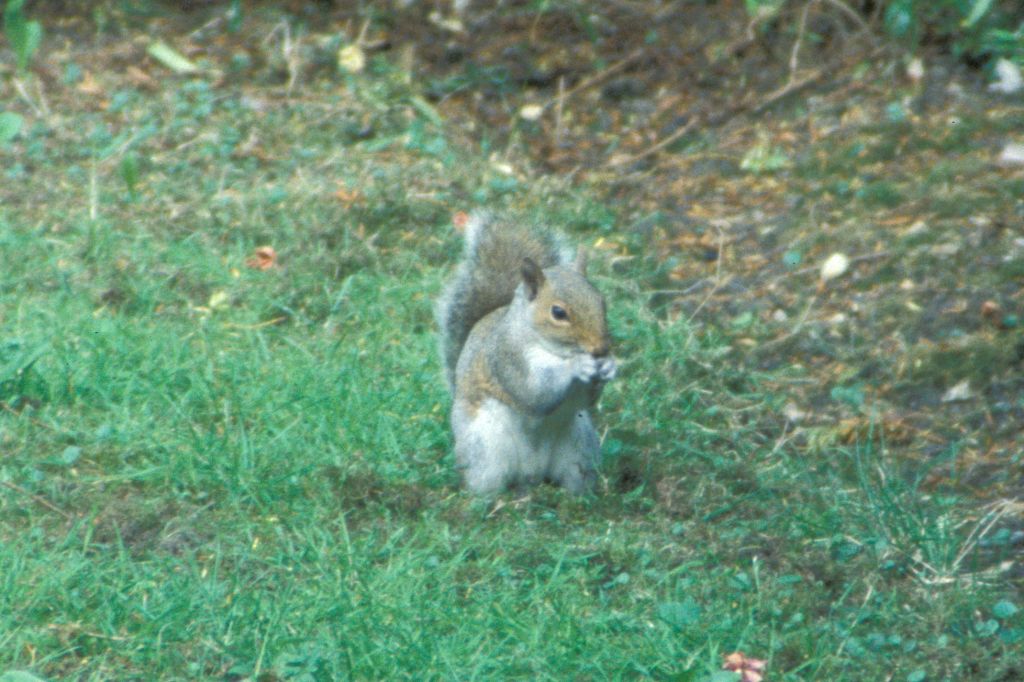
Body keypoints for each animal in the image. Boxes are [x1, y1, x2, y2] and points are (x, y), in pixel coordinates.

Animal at [436, 212, 616, 495]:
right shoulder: (507, 357)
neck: (554, 351)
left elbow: (586, 401)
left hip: (580, 449)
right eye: (558, 312)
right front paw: (577, 365)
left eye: (602, 301)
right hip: (485, 448)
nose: (600, 348)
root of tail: (533, 473)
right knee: (484, 483)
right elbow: (534, 393)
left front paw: (609, 366)